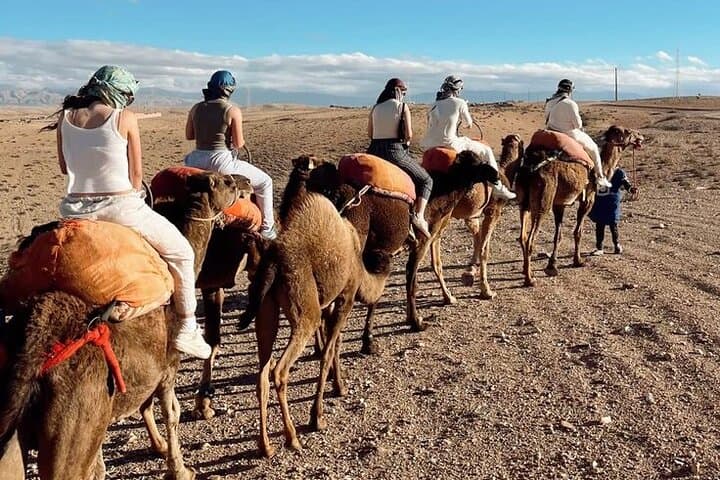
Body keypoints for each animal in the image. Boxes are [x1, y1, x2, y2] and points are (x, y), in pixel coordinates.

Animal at [0, 170, 239, 480]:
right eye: (226, 182)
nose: (244, 184)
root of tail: (31, 353)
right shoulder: (168, 365)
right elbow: (171, 411)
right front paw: (180, 469)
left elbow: (145, 405)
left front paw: (159, 446)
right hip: (72, 425)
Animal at [241, 155, 384, 458]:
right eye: (327, 168)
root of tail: (273, 261)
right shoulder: (345, 298)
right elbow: (328, 352)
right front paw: (317, 415)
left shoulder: (329, 302)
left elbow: (335, 345)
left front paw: (339, 385)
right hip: (305, 310)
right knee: (279, 370)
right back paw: (292, 437)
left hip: (266, 311)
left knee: (262, 374)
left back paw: (266, 446)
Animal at [507, 125, 644, 286]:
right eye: (628, 132)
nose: (639, 136)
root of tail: (530, 170)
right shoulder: (588, 199)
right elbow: (578, 232)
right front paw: (578, 261)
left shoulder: (559, 204)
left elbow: (558, 235)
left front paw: (552, 265)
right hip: (543, 203)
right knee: (530, 239)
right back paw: (529, 279)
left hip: (524, 203)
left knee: (522, 236)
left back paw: (525, 270)